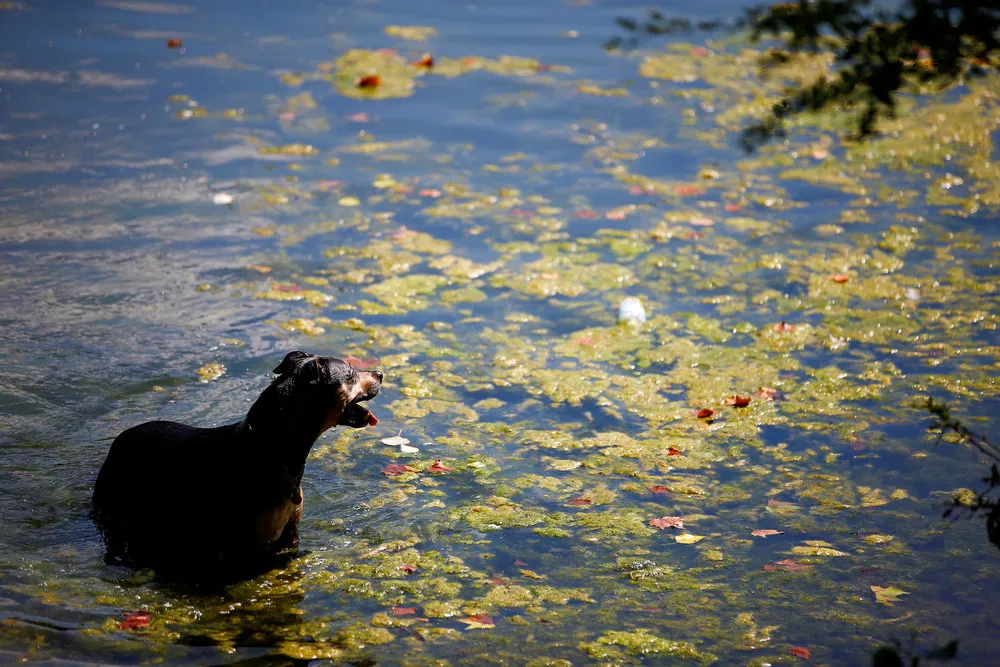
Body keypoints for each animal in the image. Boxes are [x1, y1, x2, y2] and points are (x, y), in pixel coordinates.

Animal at [91, 350, 382, 576]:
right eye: (350, 372)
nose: (380, 373)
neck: (270, 447)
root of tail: (119, 440)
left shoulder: (289, 534)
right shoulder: (237, 546)